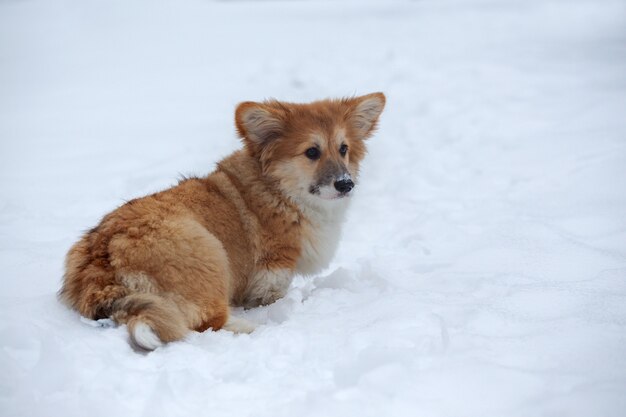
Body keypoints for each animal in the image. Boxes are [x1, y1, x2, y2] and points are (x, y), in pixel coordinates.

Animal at [59, 92, 380, 350]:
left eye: (343, 148)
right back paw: (249, 328)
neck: (280, 194)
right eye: (312, 152)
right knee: (206, 320)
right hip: (209, 254)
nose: (346, 184)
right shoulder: (271, 279)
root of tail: (102, 260)